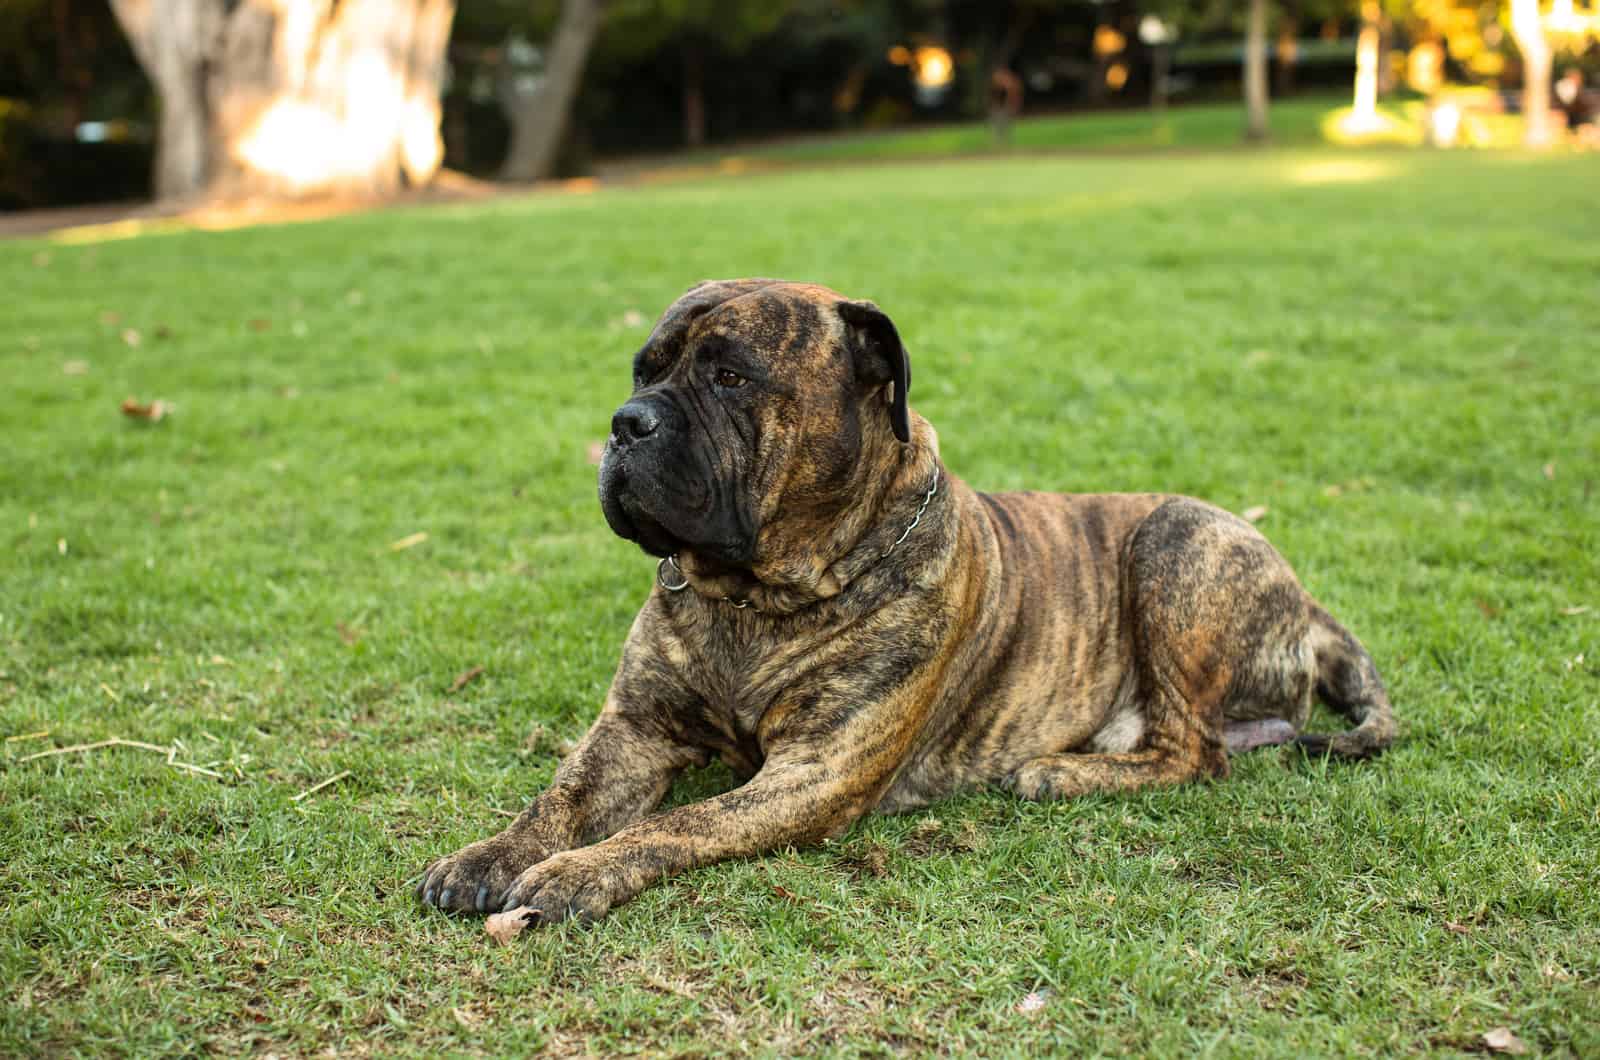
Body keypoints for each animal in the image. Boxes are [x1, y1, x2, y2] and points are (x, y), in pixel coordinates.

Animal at [416, 278, 1401, 928]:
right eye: (642, 370)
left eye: (732, 377)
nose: (627, 424)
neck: (757, 595)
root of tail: (1307, 601)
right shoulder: (634, 728)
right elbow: (560, 795)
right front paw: (487, 855)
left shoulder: (815, 771)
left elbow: (679, 822)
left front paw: (579, 873)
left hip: (1177, 539)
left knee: (1198, 753)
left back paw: (1061, 771)